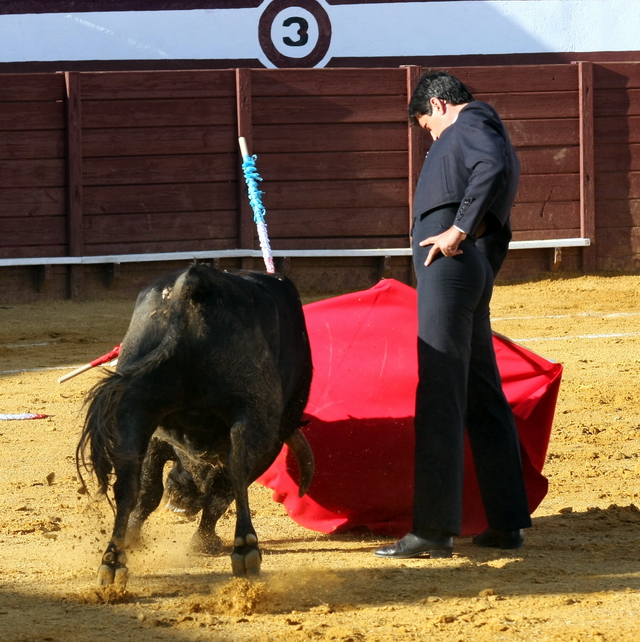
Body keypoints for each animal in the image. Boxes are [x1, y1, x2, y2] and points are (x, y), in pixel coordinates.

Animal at [77, 262, 316, 584]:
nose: (181, 501)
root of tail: (194, 283)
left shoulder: (158, 437)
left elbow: (150, 491)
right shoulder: (272, 439)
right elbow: (224, 490)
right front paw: (204, 541)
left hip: (133, 409)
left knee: (127, 485)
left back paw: (114, 560)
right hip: (254, 410)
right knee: (237, 471)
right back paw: (245, 550)